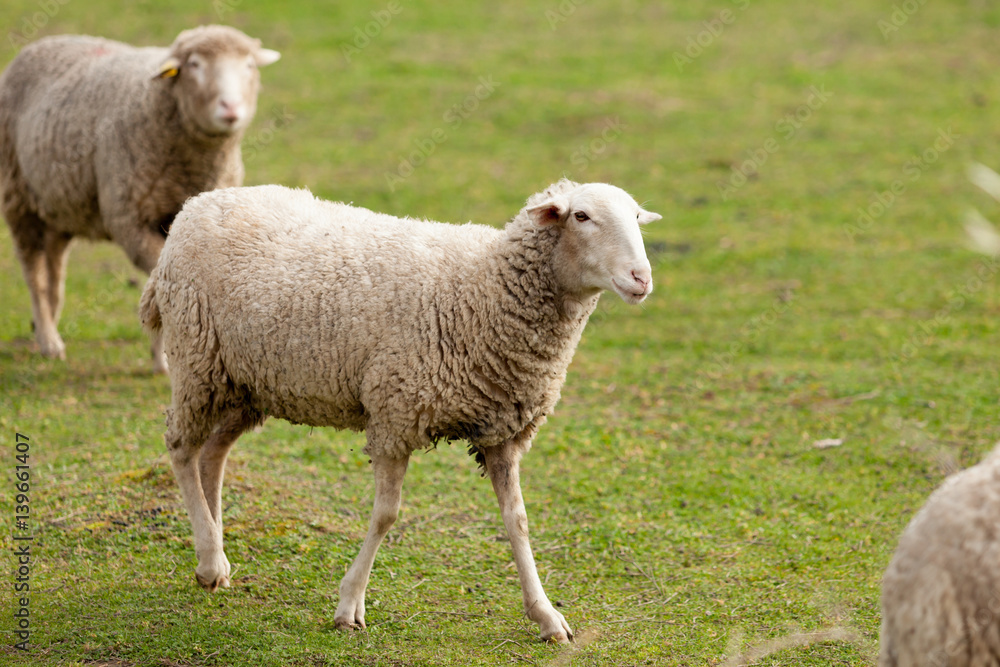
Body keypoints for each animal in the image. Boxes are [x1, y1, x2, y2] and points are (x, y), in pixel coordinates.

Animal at [0, 24, 282, 370]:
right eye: (195, 65)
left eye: (249, 65)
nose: (230, 109)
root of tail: (47, 41)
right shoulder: (130, 219)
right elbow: (158, 277)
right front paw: (163, 358)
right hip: (17, 196)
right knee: (34, 271)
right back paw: (49, 341)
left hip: (57, 205)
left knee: (54, 266)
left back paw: (47, 327)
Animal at [139, 177, 656, 640]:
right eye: (582, 216)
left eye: (635, 217)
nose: (642, 279)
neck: (483, 288)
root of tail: (200, 203)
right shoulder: (395, 415)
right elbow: (387, 514)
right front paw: (349, 604)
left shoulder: (502, 432)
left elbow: (518, 521)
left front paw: (546, 615)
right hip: (197, 361)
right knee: (181, 447)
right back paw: (210, 558)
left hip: (247, 384)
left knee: (213, 454)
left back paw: (215, 553)